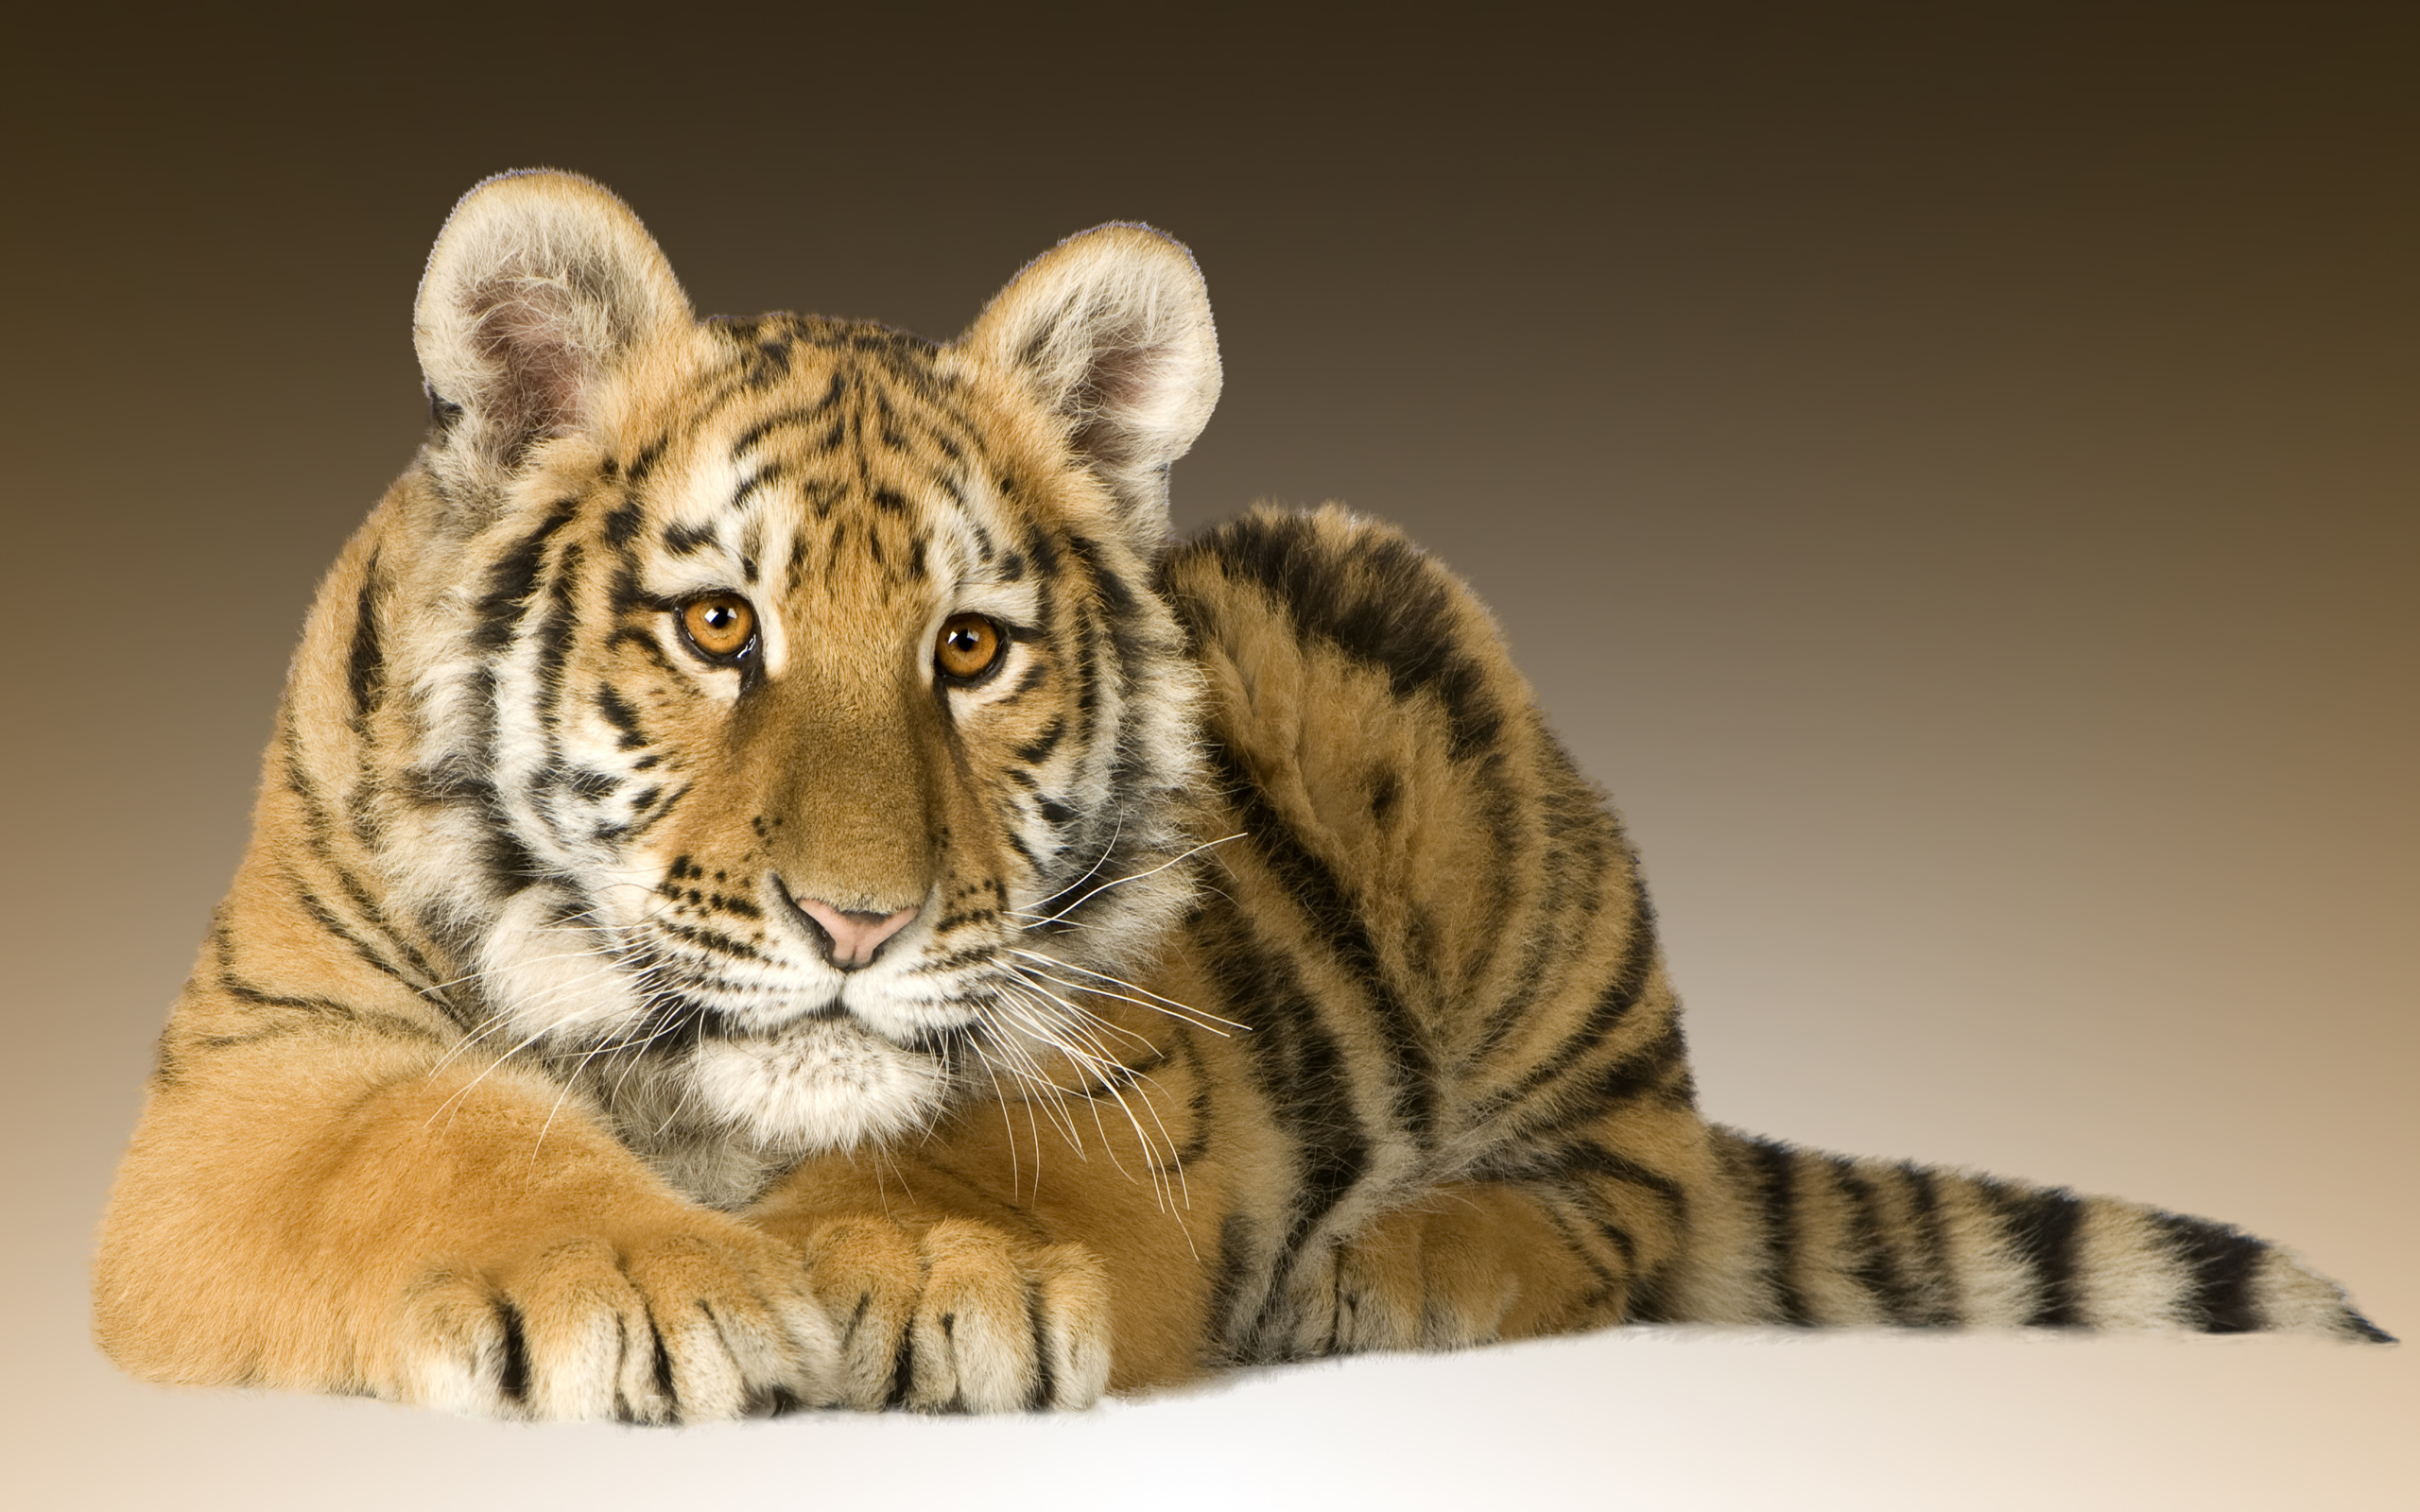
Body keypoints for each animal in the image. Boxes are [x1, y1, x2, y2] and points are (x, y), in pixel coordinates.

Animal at [92, 169, 2388, 1422]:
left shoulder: (1135, 1060)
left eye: (969, 650)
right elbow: (428, 1140)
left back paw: (1406, 1258)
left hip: (1458, 745)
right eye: (719, 625)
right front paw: (646, 1283)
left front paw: (912, 1267)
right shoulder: (251, 1082)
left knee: (1633, 1192)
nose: (857, 926)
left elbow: (978, 1138)